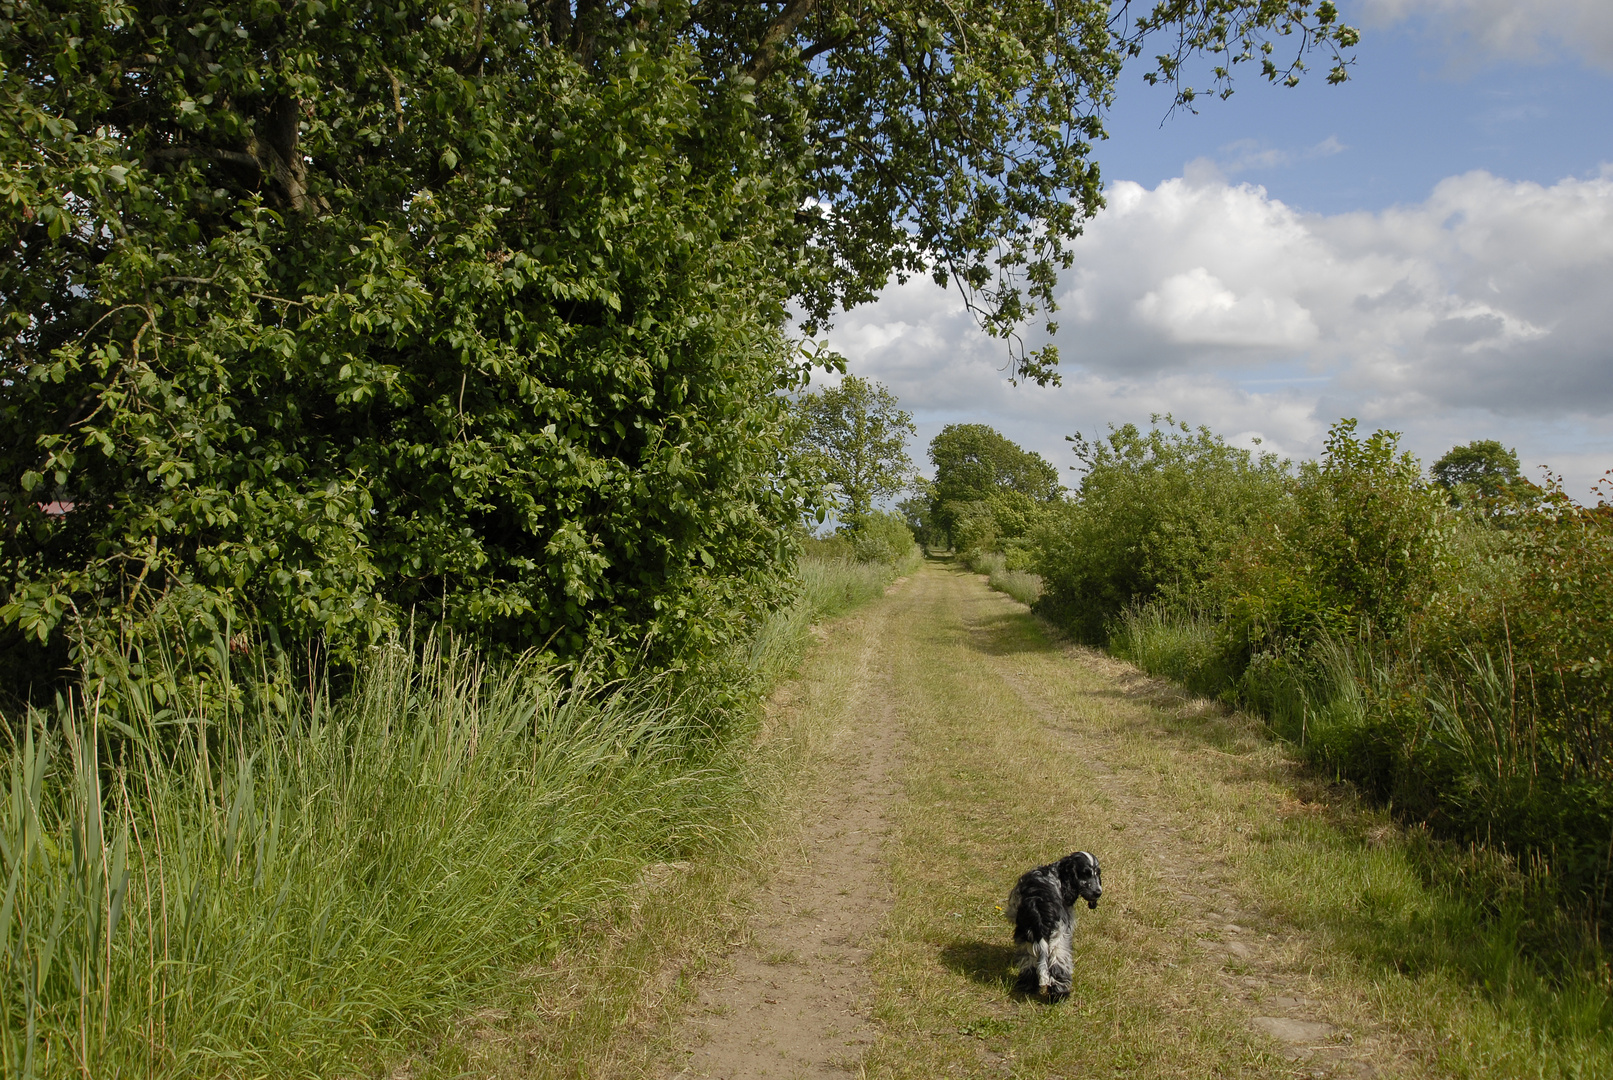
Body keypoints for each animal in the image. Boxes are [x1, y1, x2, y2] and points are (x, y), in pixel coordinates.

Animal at [1000, 851, 1103, 1005]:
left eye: (1097, 873)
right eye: (1085, 874)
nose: (1098, 892)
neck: (1057, 875)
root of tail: (1038, 904)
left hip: (1027, 935)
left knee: (1029, 962)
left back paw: (1028, 987)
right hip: (1059, 938)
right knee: (1058, 965)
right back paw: (1059, 996)